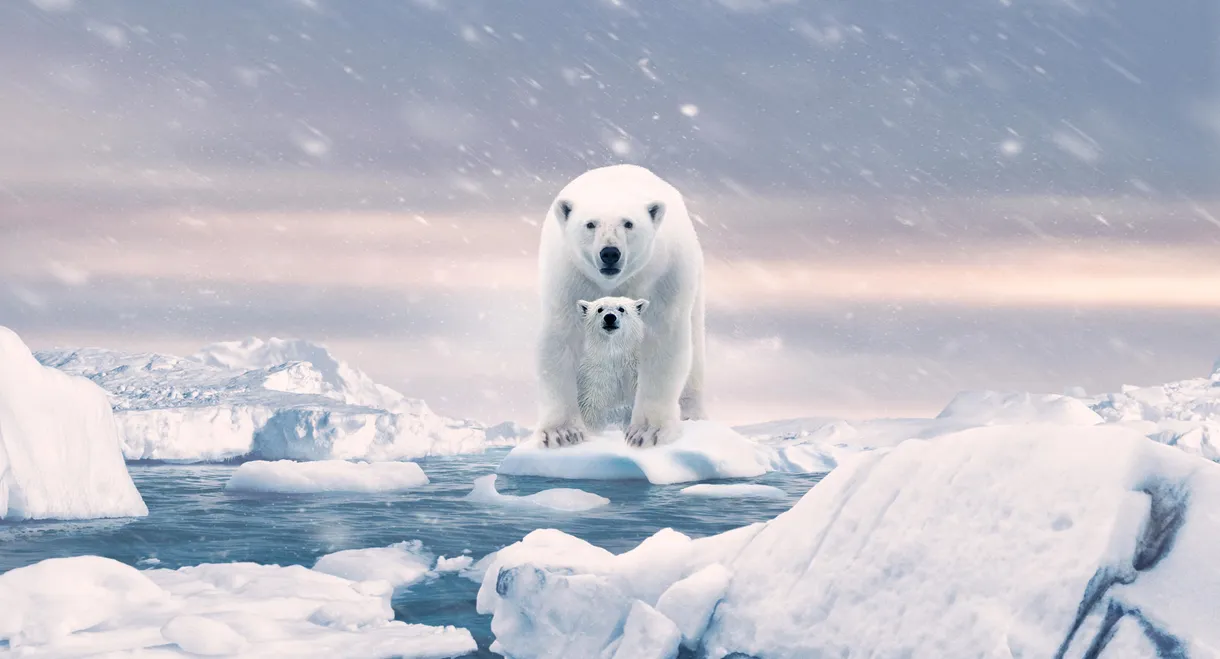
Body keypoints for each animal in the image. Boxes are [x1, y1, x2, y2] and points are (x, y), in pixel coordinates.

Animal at [576, 296, 649, 433]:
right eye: (600, 309)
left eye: (621, 308)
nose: (610, 317)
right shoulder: (595, 375)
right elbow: (593, 405)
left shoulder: (634, 372)